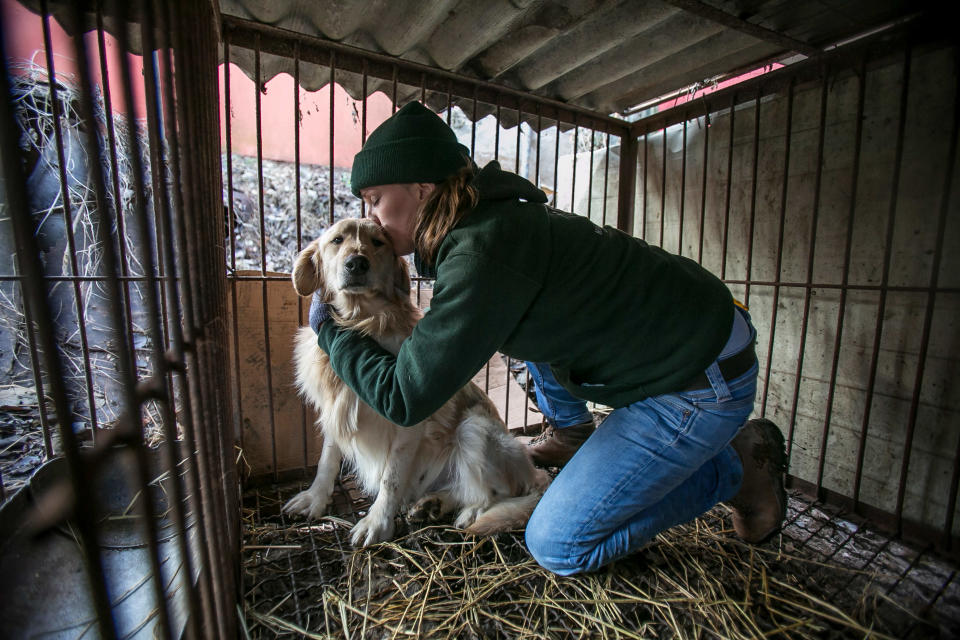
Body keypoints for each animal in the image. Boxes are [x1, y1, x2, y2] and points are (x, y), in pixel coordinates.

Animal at [282, 219, 548, 544]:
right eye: (337, 240)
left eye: (378, 242)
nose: (357, 263)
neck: (360, 321)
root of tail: (535, 473)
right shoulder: (334, 409)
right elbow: (327, 460)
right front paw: (315, 498)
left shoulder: (406, 421)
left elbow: (391, 478)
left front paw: (377, 522)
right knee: (459, 489)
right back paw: (432, 504)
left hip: (475, 428)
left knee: (494, 493)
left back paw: (472, 513)